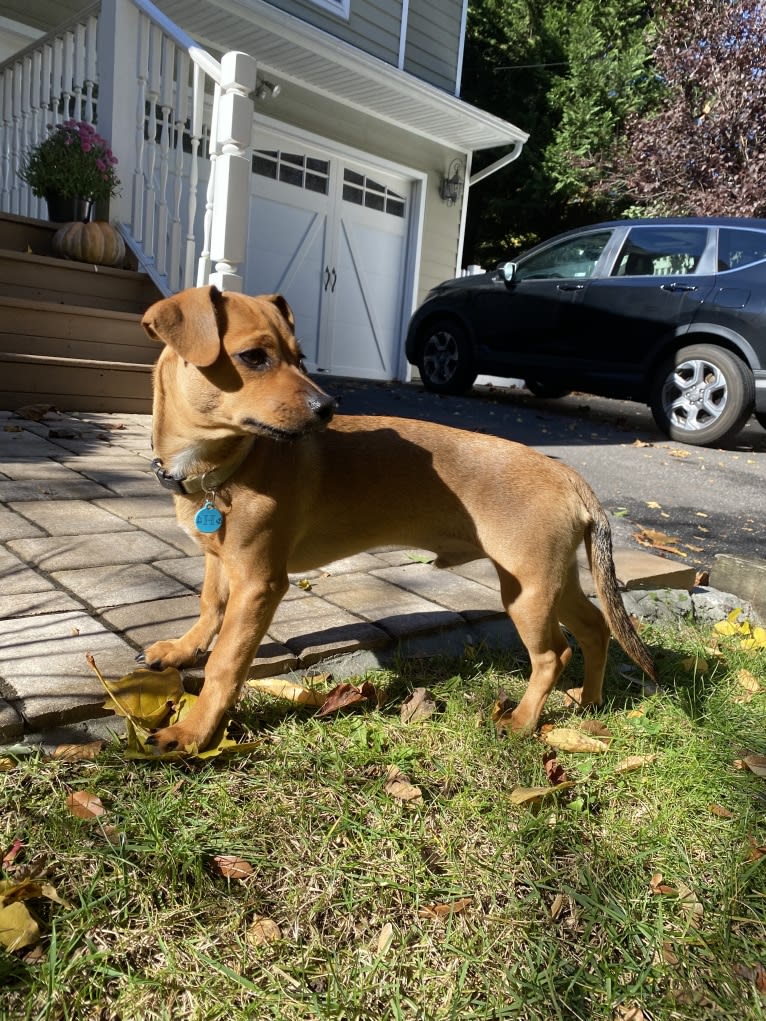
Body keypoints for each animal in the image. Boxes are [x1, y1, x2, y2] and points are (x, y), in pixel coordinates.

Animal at [140, 283, 657, 755]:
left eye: (300, 357)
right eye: (253, 357)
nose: (328, 408)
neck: (221, 466)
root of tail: (569, 475)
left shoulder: (259, 582)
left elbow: (226, 662)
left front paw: (194, 732)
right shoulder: (220, 561)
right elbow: (209, 607)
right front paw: (182, 650)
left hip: (528, 591)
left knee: (553, 654)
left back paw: (523, 722)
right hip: (553, 580)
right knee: (595, 628)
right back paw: (589, 701)